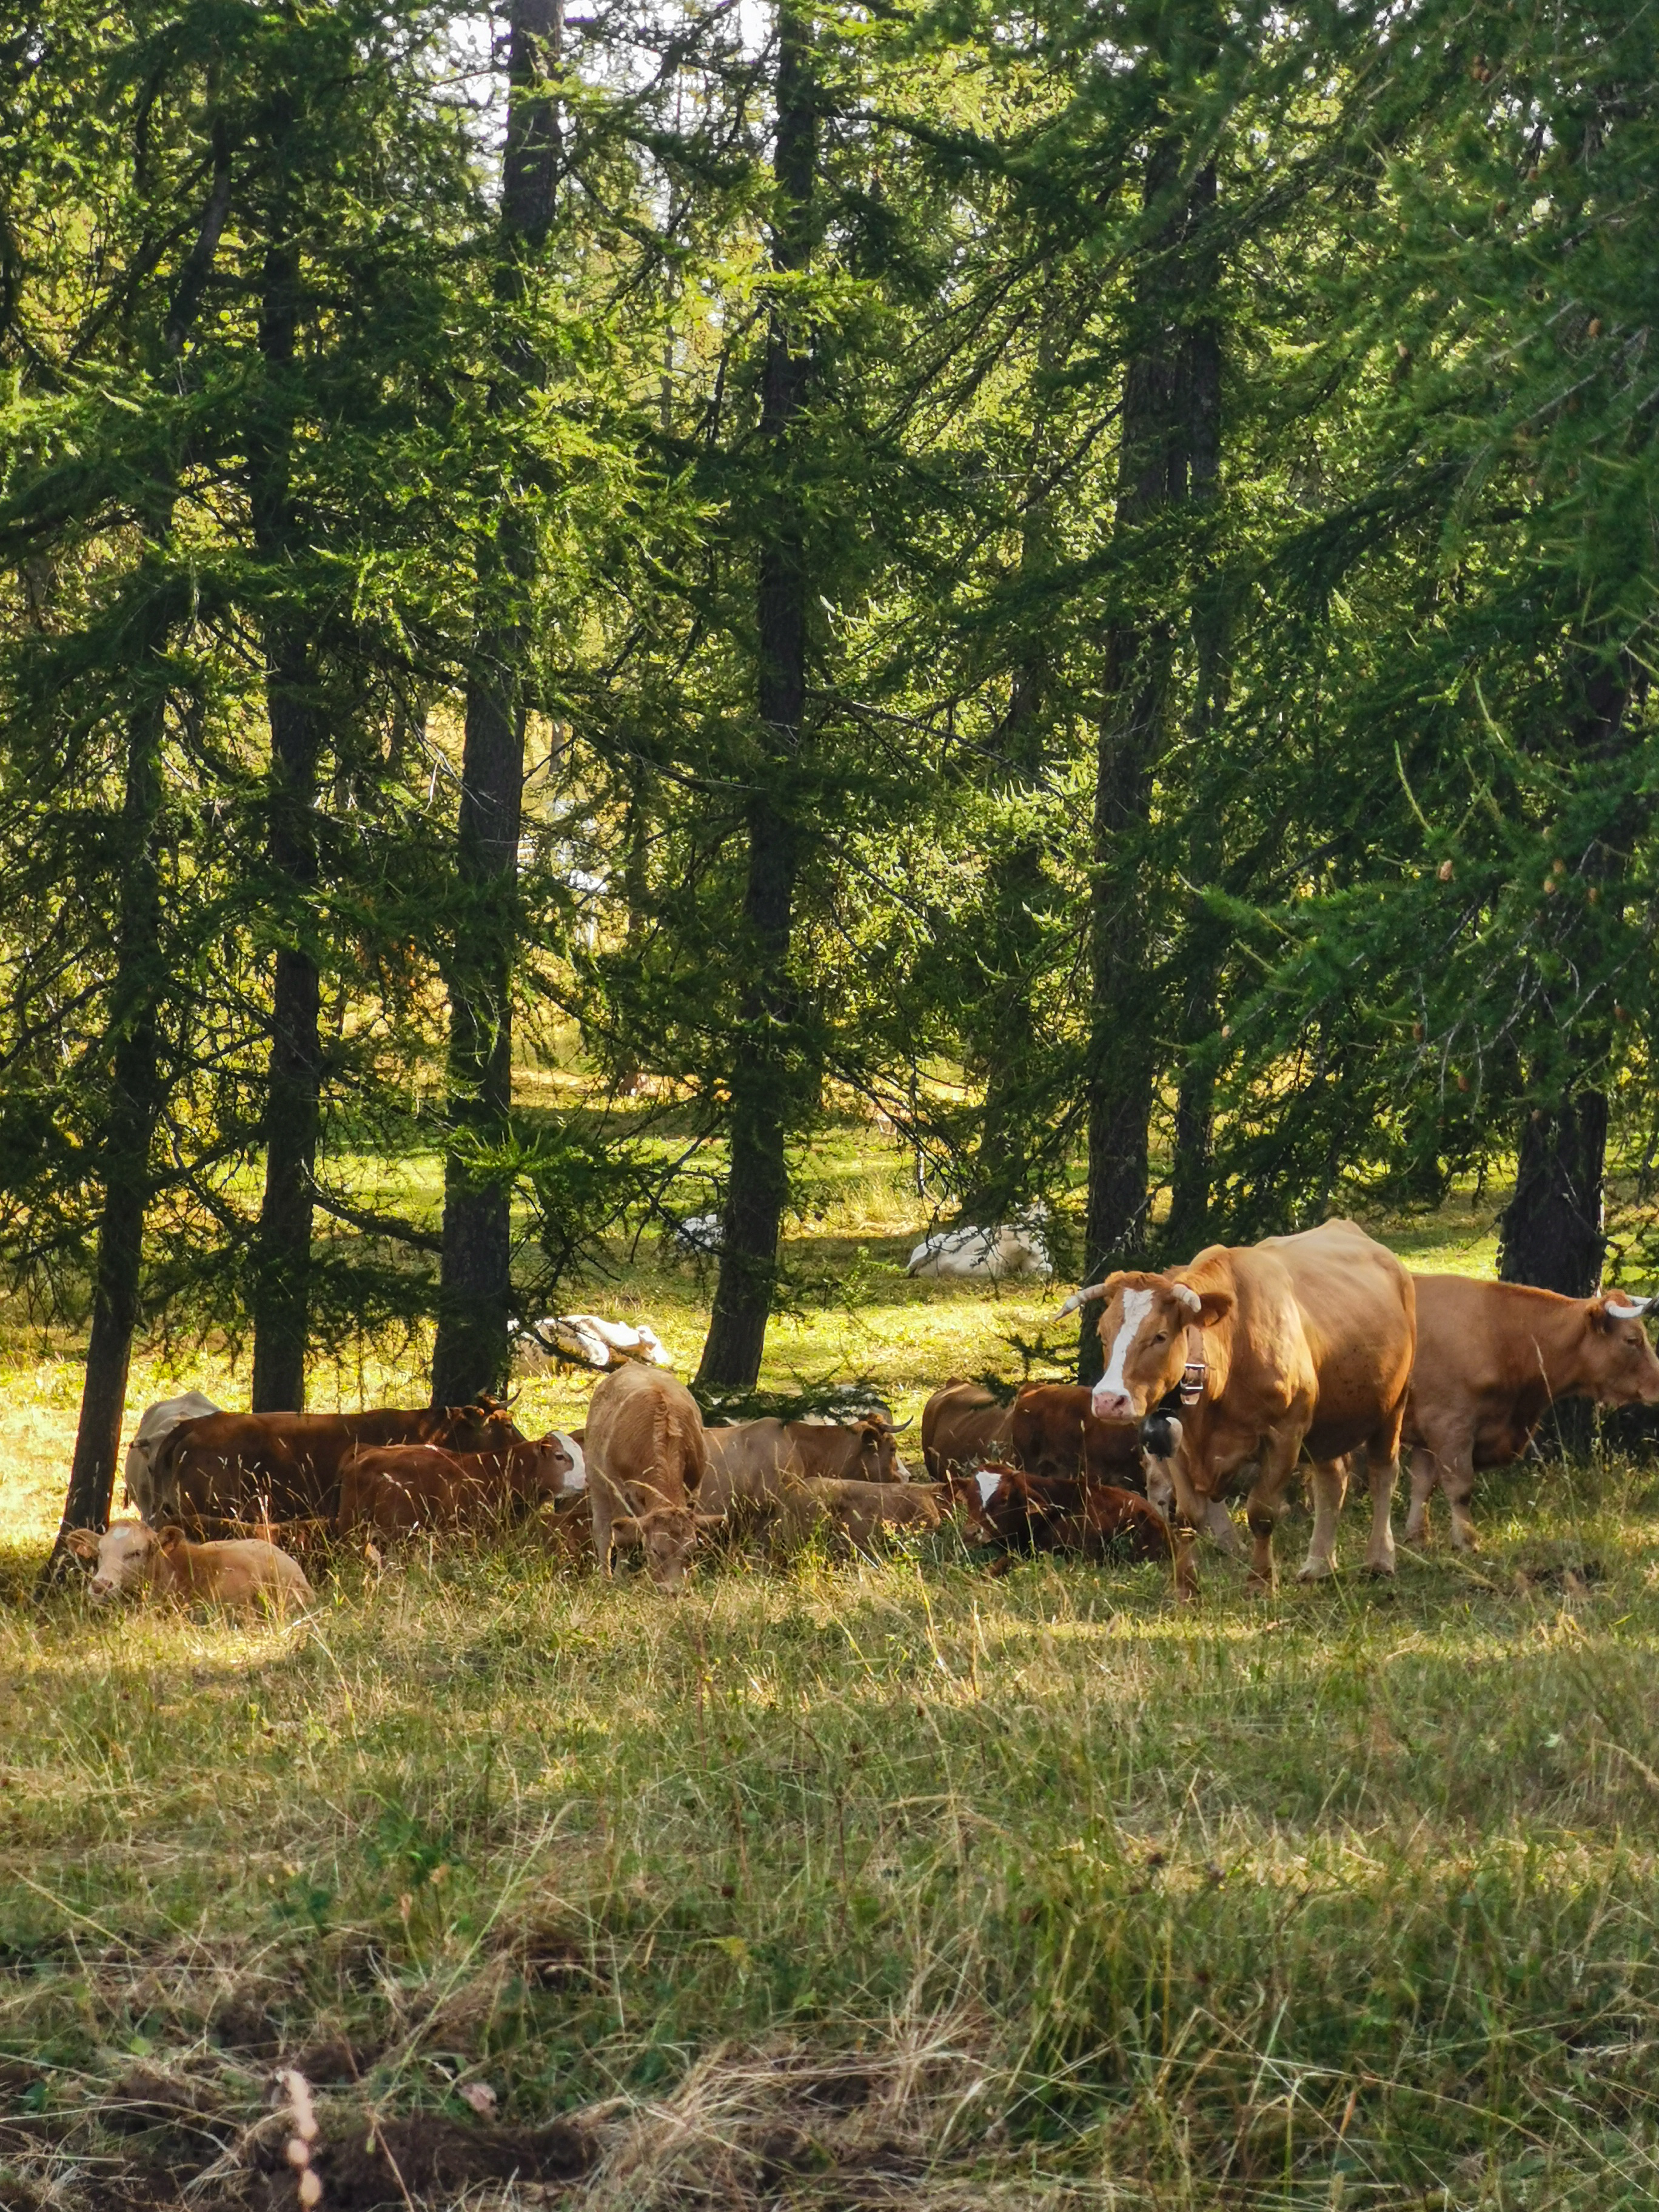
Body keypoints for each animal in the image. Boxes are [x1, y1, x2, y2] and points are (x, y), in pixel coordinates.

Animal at [585, 1363, 713, 1590]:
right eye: (655, 1550)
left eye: (691, 1552)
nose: (673, 1591)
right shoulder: (617, 1488)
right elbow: (624, 1537)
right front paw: (619, 1579)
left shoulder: (694, 1489)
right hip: (597, 1485)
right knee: (603, 1532)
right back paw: (605, 1577)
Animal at [1059, 1219, 1416, 1590]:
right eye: (1102, 1334)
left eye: (1160, 1336)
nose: (1108, 1400)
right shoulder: (1176, 1444)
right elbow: (1188, 1516)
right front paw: (1186, 1587)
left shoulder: (1285, 1435)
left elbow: (1261, 1513)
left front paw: (1261, 1582)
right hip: (1328, 1424)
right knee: (1333, 1479)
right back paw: (1318, 1564)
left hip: (1394, 1405)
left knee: (1383, 1474)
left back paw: (1380, 1560)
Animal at [1403, 1276, 1659, 1550]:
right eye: (1632, 1339)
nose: (1658, 1383)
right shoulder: (1449, 1425)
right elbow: (1459, 1488)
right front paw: (1467, 1541)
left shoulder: (1426, 1433)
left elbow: (1422, 1486)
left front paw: (1417, 1538)